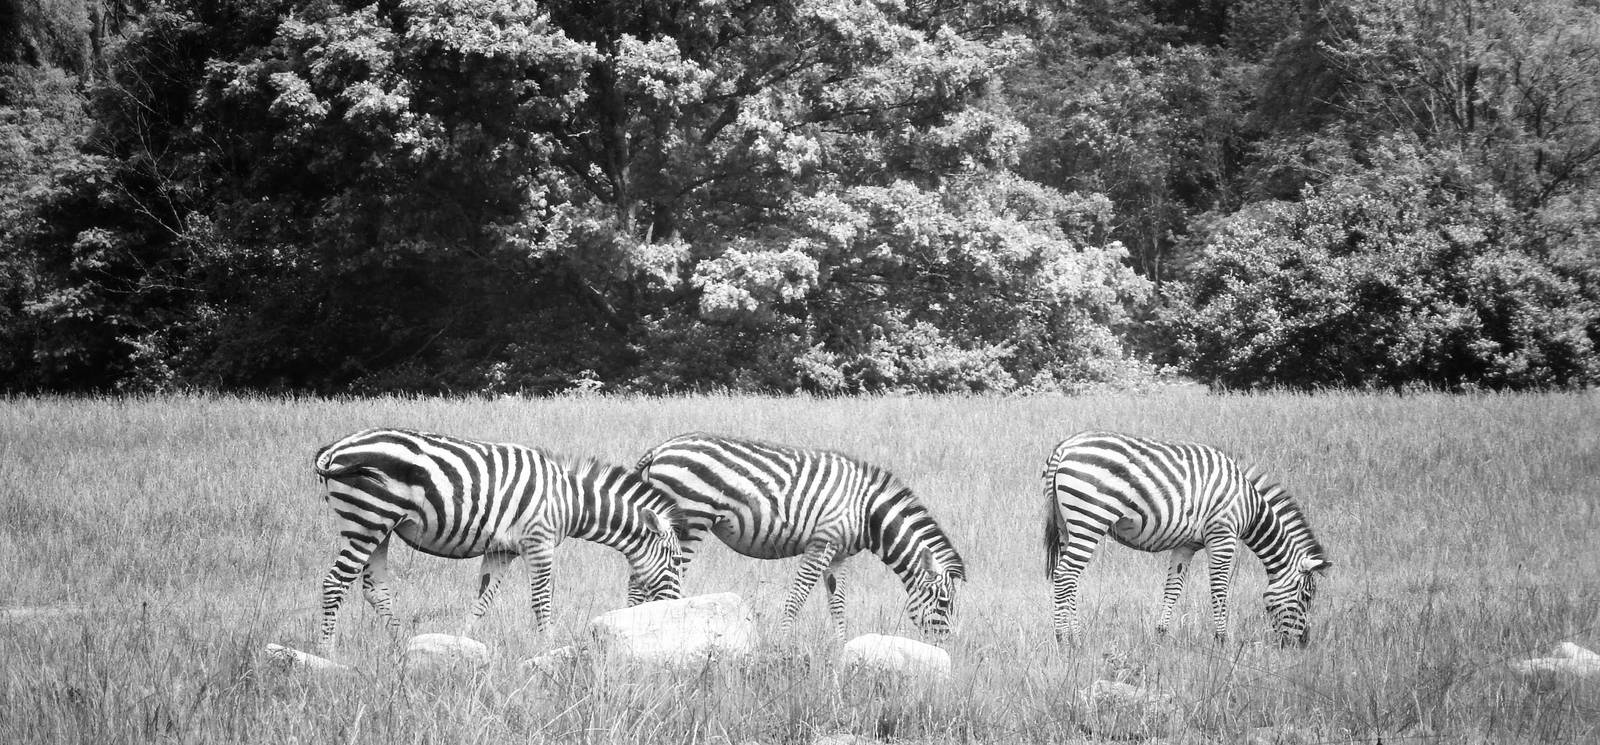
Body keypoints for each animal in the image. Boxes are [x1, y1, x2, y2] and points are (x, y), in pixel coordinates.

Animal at [311, 428, 681, 652]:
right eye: (676, 561)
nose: (676, 607)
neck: (567, 500)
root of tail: (335, 449)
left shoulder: (501, 551)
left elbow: (482, 601)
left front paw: (458, 645)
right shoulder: (539, 541)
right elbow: (541, 600)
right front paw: (548, 647)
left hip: (379, 528)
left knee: (375, 589)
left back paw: (403, 645)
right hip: (367, 521)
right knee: (334, 582)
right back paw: (327, 652)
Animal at [634, 432, 966, 638]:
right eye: (944, 603)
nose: (945, 644)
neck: (867, 511)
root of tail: (660, 449)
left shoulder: (839, 554)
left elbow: (838, 603)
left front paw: (839, 648)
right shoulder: (822, 544)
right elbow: (797, 598)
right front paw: (782, 644)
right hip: (689, 522)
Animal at [1043, 431, 1331, 646]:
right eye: (1307, 597)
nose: (1302, 644)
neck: (1249, 508)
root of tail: (1064, 448)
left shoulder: (1186, 545)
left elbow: (1174, 588)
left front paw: (1160, 635)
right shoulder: (1222, 536)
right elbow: (1219, 588)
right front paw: (1222, 639)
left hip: (1067, 527)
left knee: (1070, 579)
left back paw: (1075, 636)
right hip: (1089, 520)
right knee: (1065, 575)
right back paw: (1064, 640)